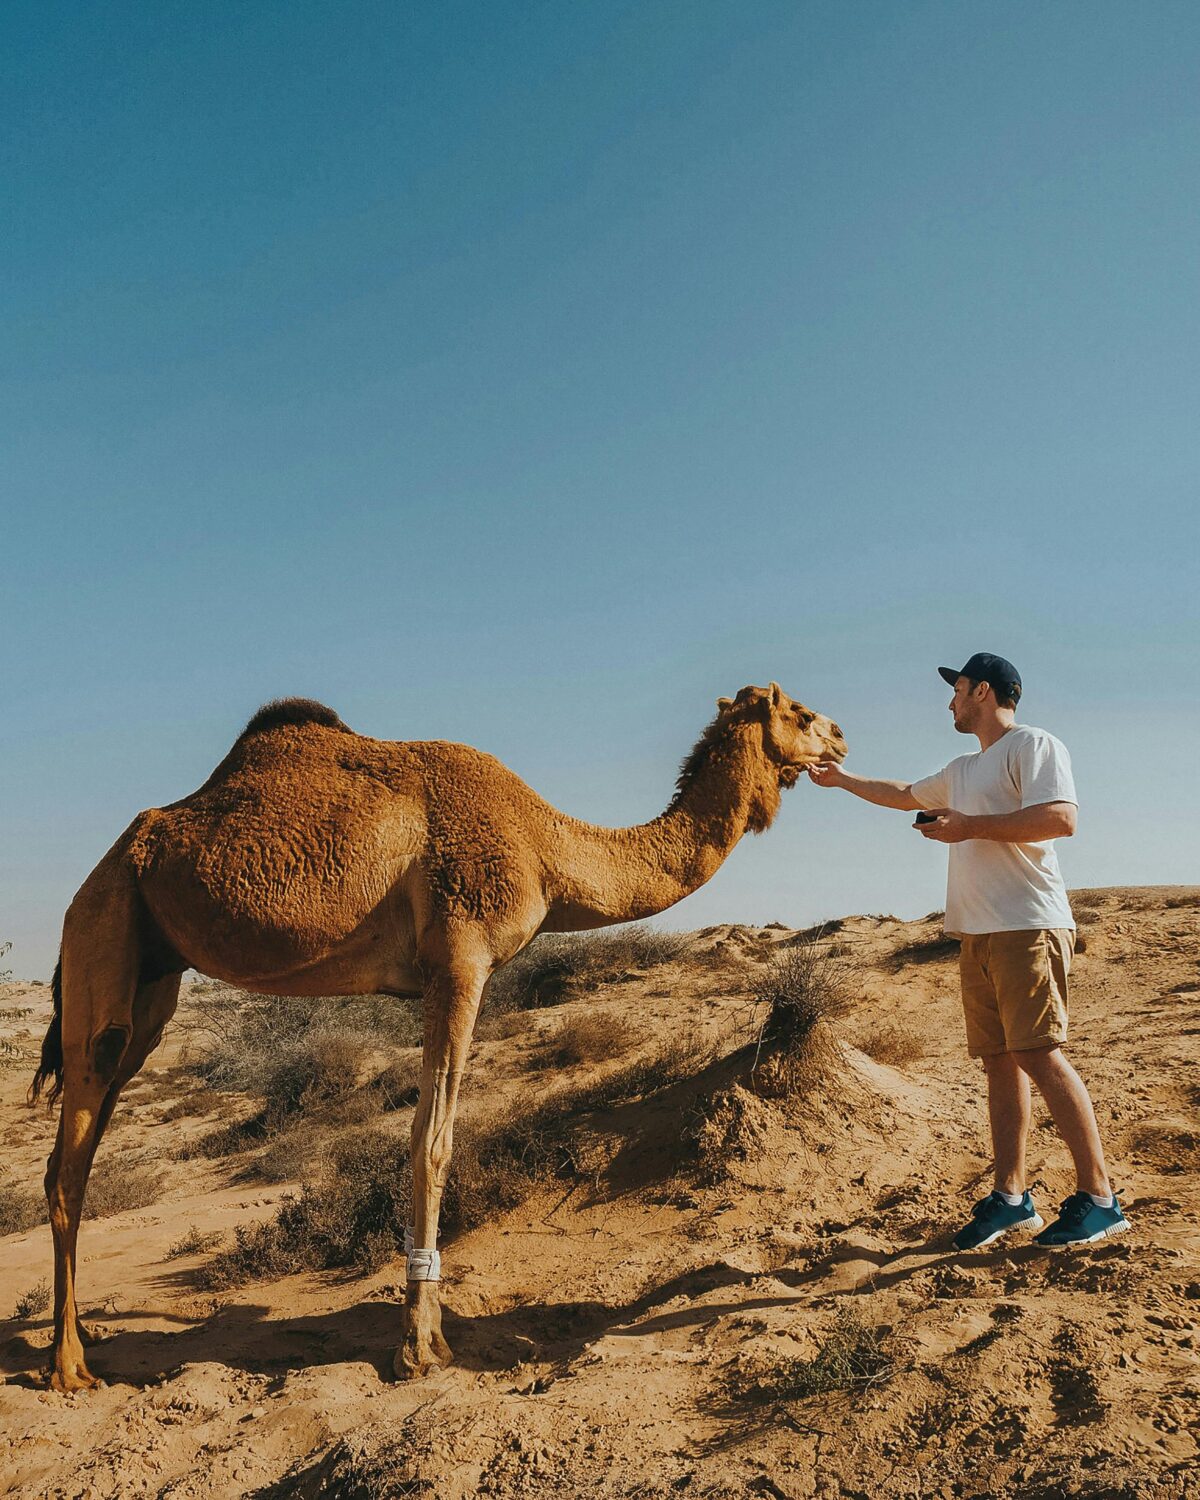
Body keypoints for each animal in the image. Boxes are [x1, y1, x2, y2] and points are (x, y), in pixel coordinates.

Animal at [32, 687, 846, 1386]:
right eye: (801, 713)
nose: (841, 736)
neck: (545, 848)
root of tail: (104, 866)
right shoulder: (460, 956)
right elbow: (433, 1140)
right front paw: (421, 1346)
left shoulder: (449, 967)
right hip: (104, 922)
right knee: (70, 1155)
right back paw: (69, 1366)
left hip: (152, 971)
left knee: (82, 1138)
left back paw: (81, 1337)